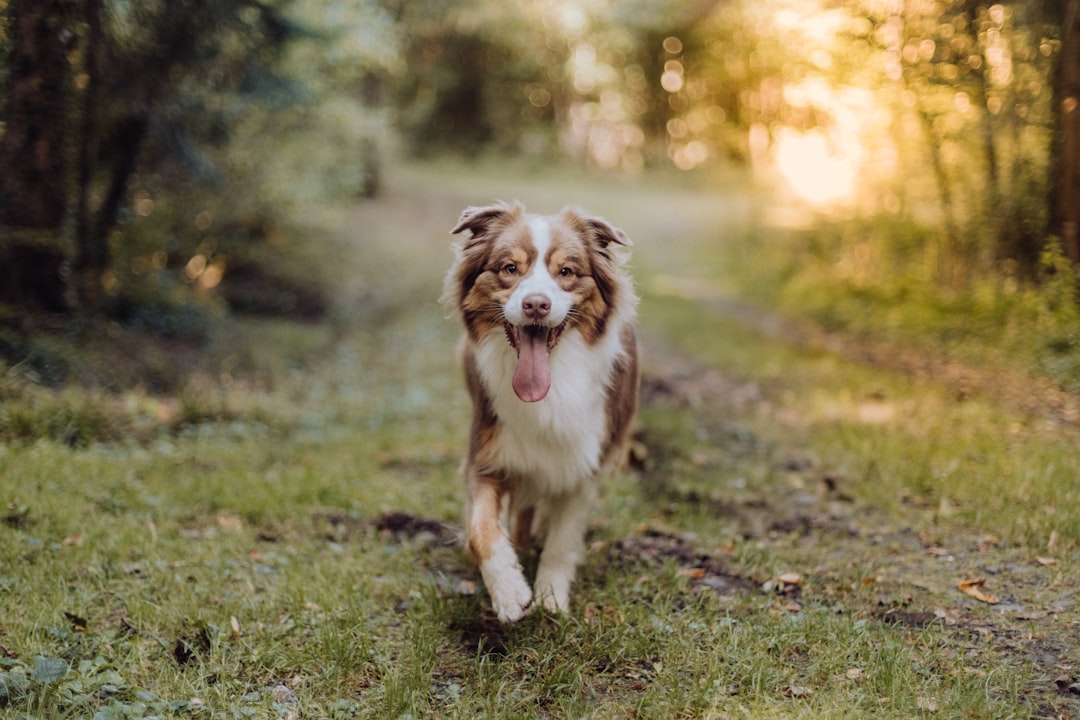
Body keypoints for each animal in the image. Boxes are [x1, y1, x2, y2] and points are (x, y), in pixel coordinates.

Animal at [444, 202, 639, 626]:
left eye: (565, 272)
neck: (550, 390)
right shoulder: (488, 453)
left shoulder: (583, 465)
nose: (536, 304)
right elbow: (481, 529)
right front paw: (509, 592)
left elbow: (562, 542)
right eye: (509, 268)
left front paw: (551, 599)